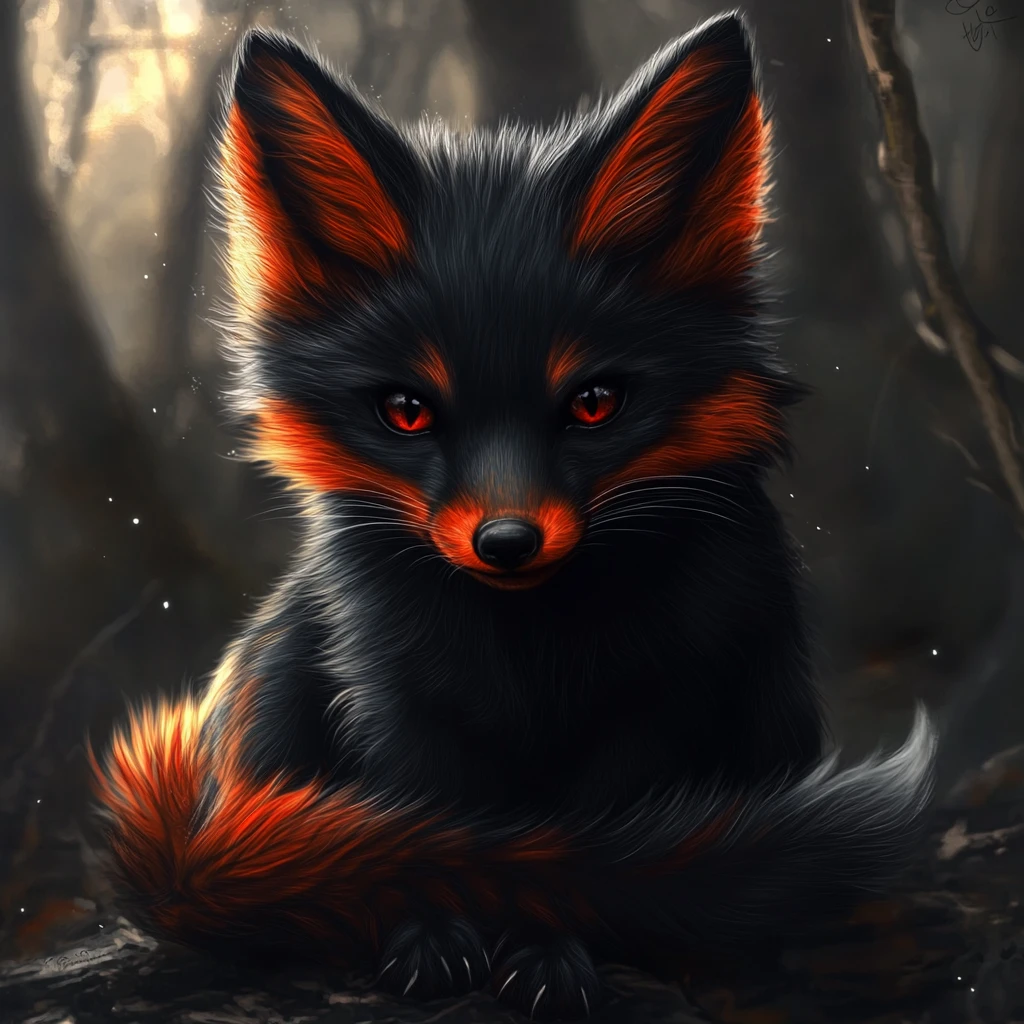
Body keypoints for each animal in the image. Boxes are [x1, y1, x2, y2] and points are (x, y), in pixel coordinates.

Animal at [89, 10, 937, 1022]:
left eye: (595, 403)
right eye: (406, 411)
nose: (506, 542)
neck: (531, 655)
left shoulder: (661, 699)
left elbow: (583, 848)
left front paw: (548, 953)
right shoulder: (394, 698)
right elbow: (428, 830)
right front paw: (429, 938)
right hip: (287, 672)